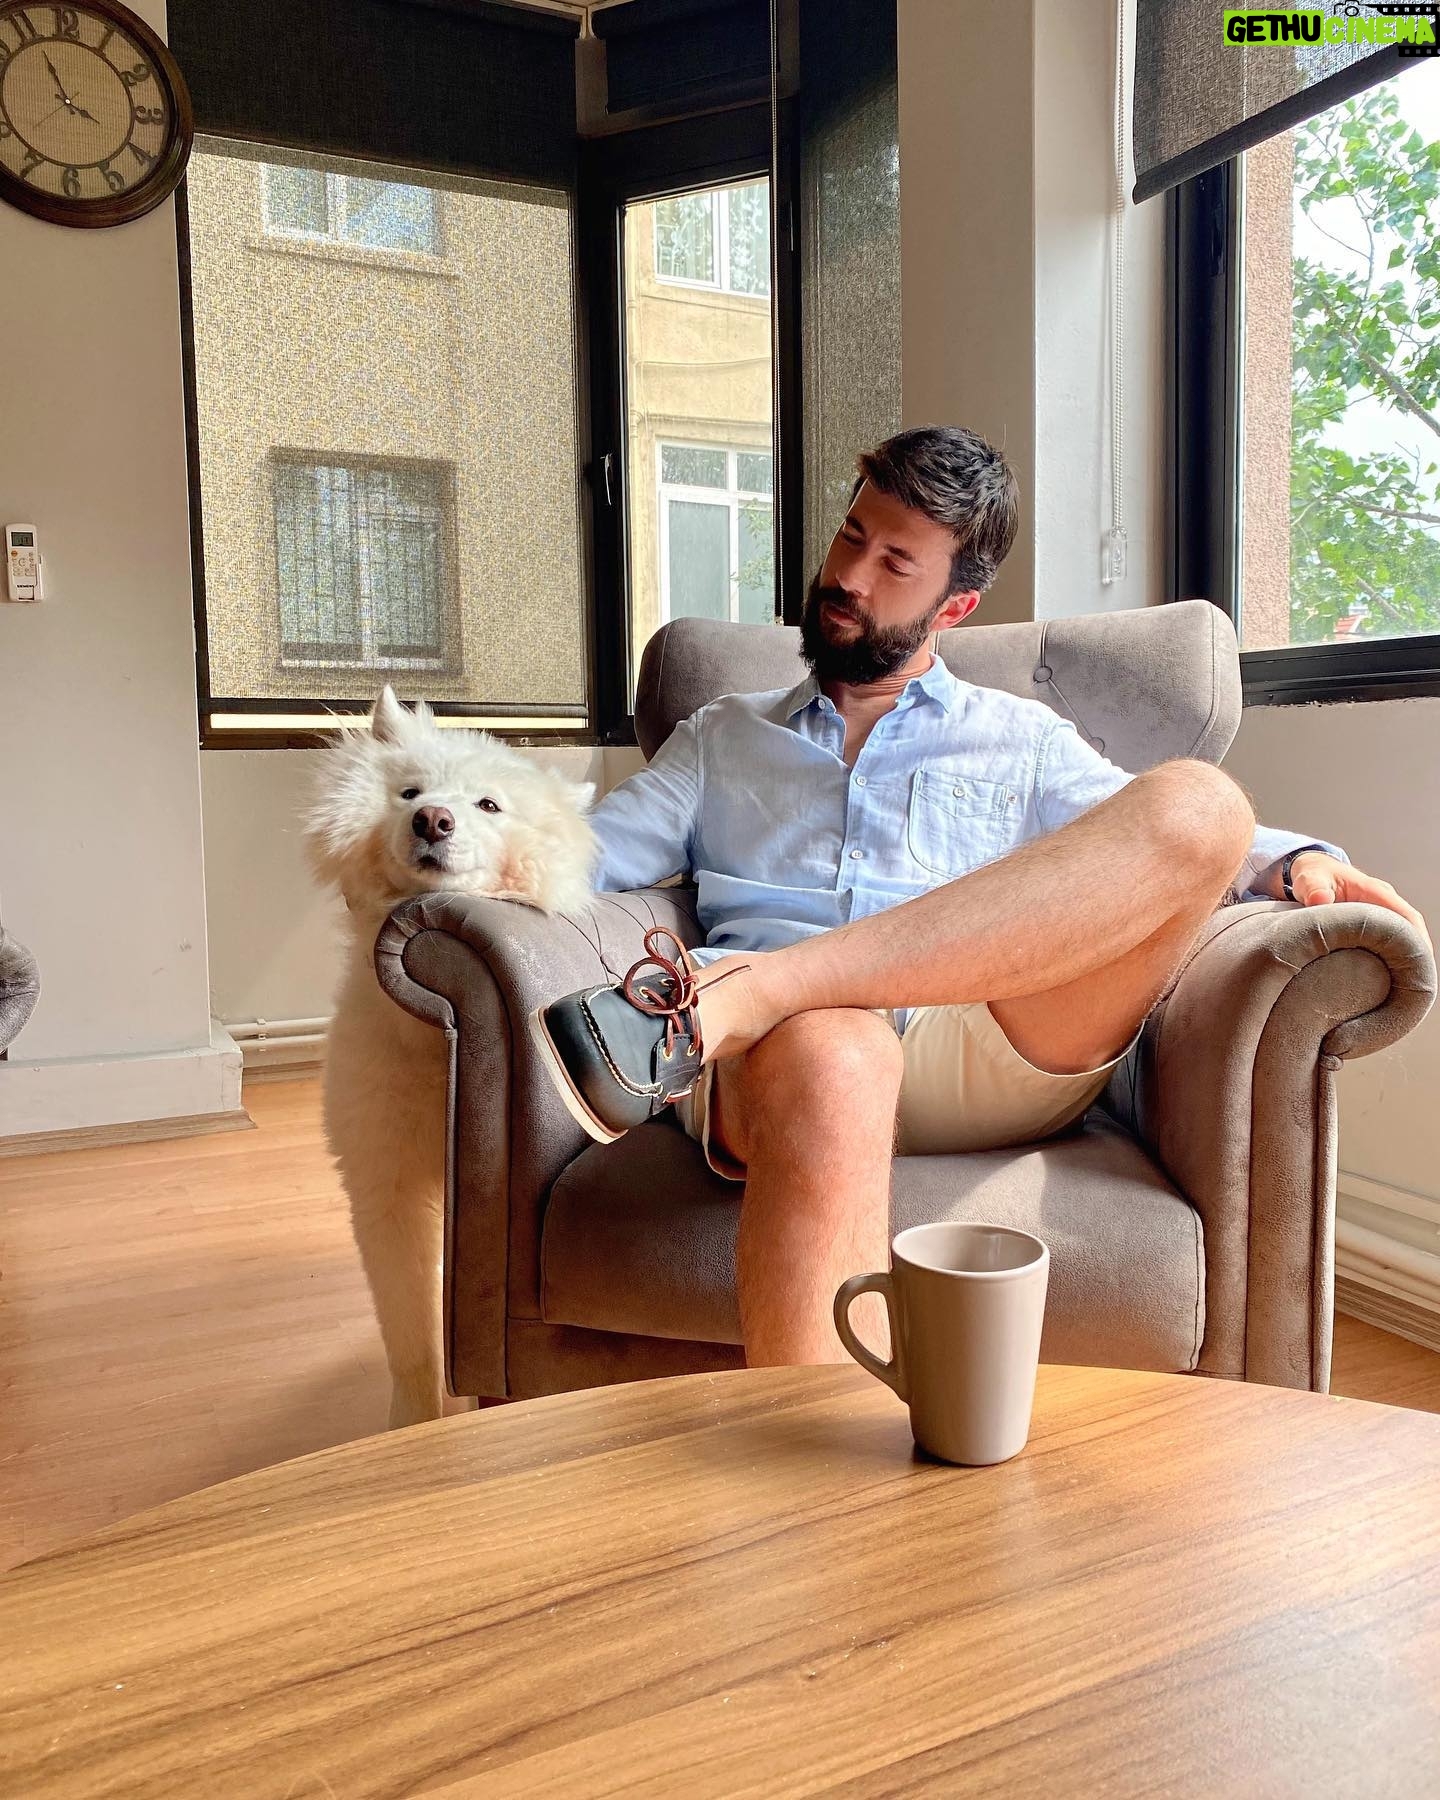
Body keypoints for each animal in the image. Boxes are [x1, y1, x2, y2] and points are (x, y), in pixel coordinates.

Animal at [306, 687, 596, 1428]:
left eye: (488, 805)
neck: (439, 1023)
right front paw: (415, 1422)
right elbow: (411, 1332)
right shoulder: (387, 1184)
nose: (431, 820)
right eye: (409, 791)